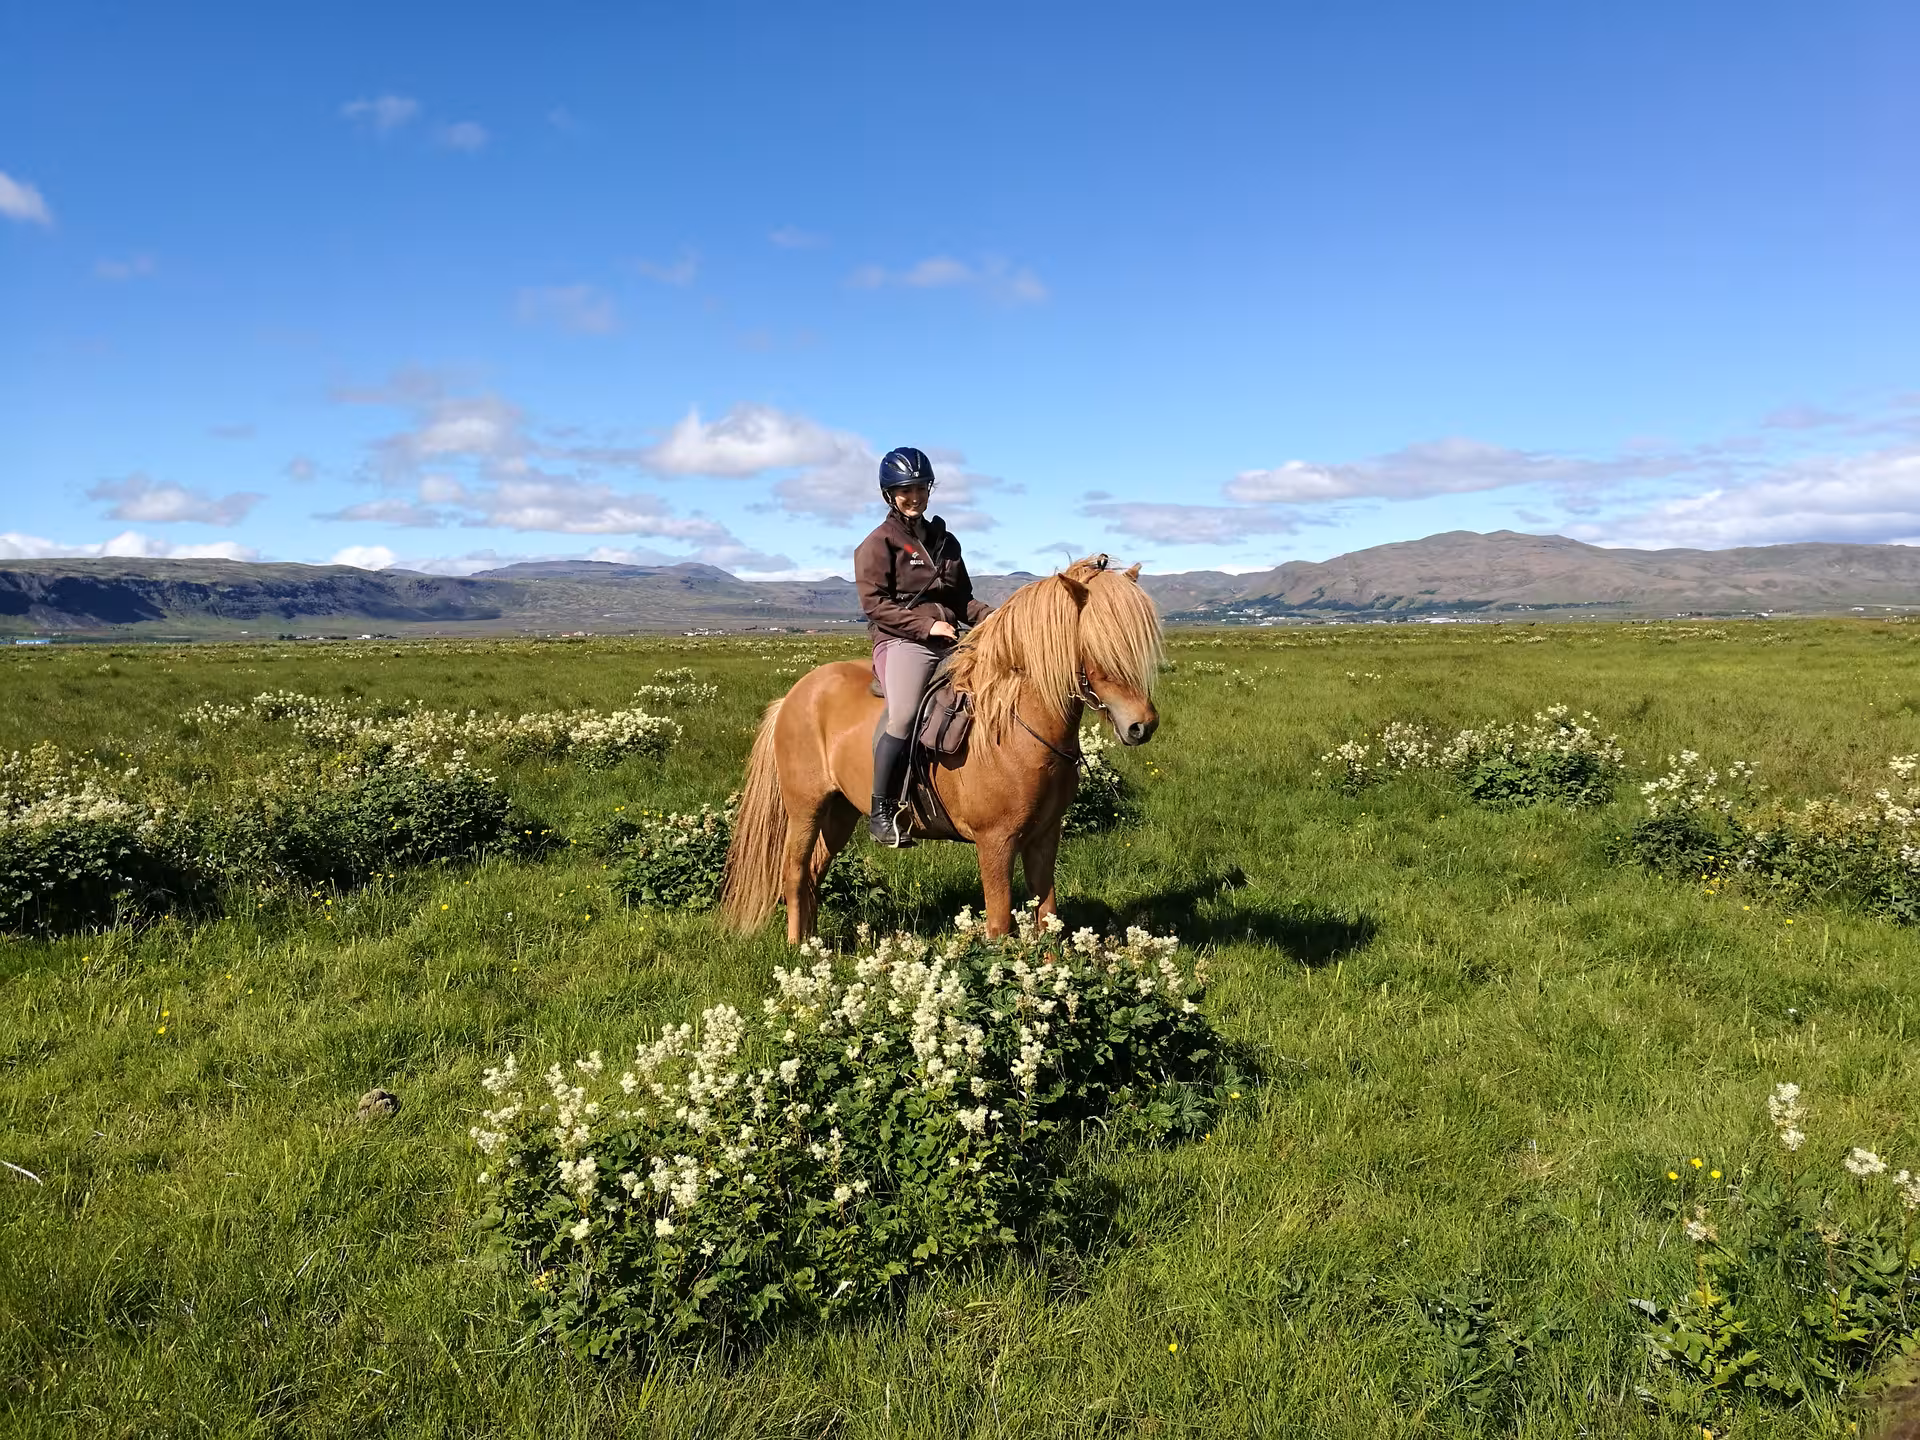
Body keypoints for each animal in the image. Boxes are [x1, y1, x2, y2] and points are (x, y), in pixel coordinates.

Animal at [720, 555, 1165, 941]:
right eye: (1097, 643)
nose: (1142, 725)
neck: (1011, 728)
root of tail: (793, 697)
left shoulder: (1044, 836)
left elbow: (1047, 917)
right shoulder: (995, 843)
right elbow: (999, 925)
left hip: (840, 811)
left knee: (813, 872)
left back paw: (815, 946)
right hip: (805, 808)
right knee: (794, 874)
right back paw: (798, 948)